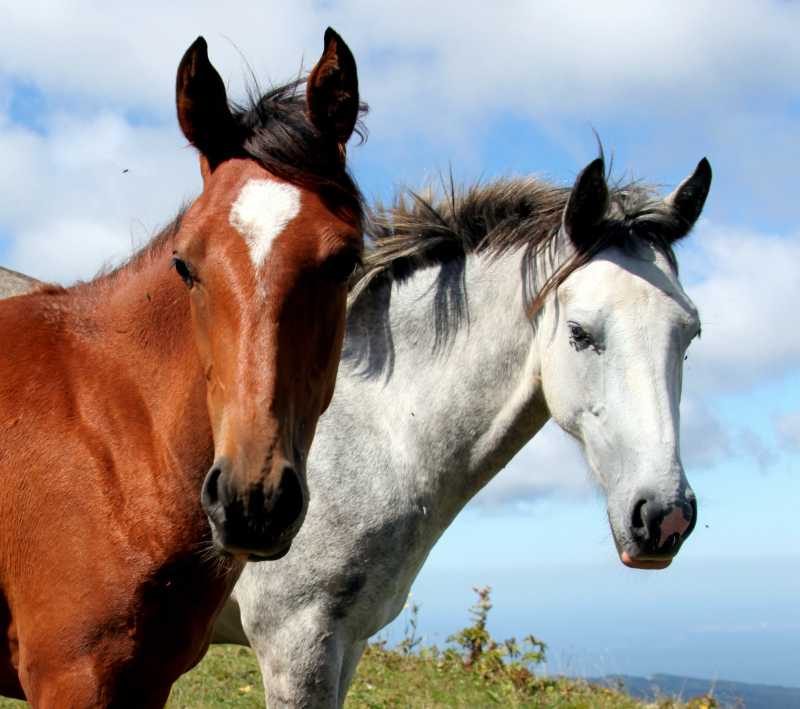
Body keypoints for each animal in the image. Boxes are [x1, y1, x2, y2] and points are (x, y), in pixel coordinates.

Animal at [0, 26, 362, 704]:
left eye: (345, 261)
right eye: (185, 263)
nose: (252, 500)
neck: (113, 438)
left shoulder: (148, 681)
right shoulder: (70, 678)